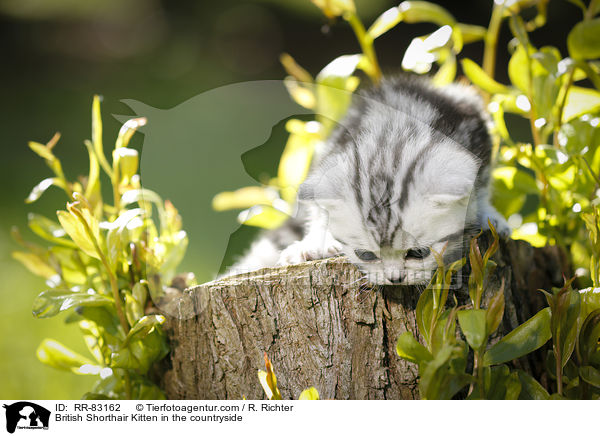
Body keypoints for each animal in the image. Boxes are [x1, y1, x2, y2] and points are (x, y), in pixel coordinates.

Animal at [227, 75, 508, 286]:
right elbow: (319, 209)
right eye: (366, 255)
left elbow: (481, 182)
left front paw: (487, 213)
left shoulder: (474, 133)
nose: (395, 279)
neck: (392, 136)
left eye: (418, 253)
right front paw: (317, 242)